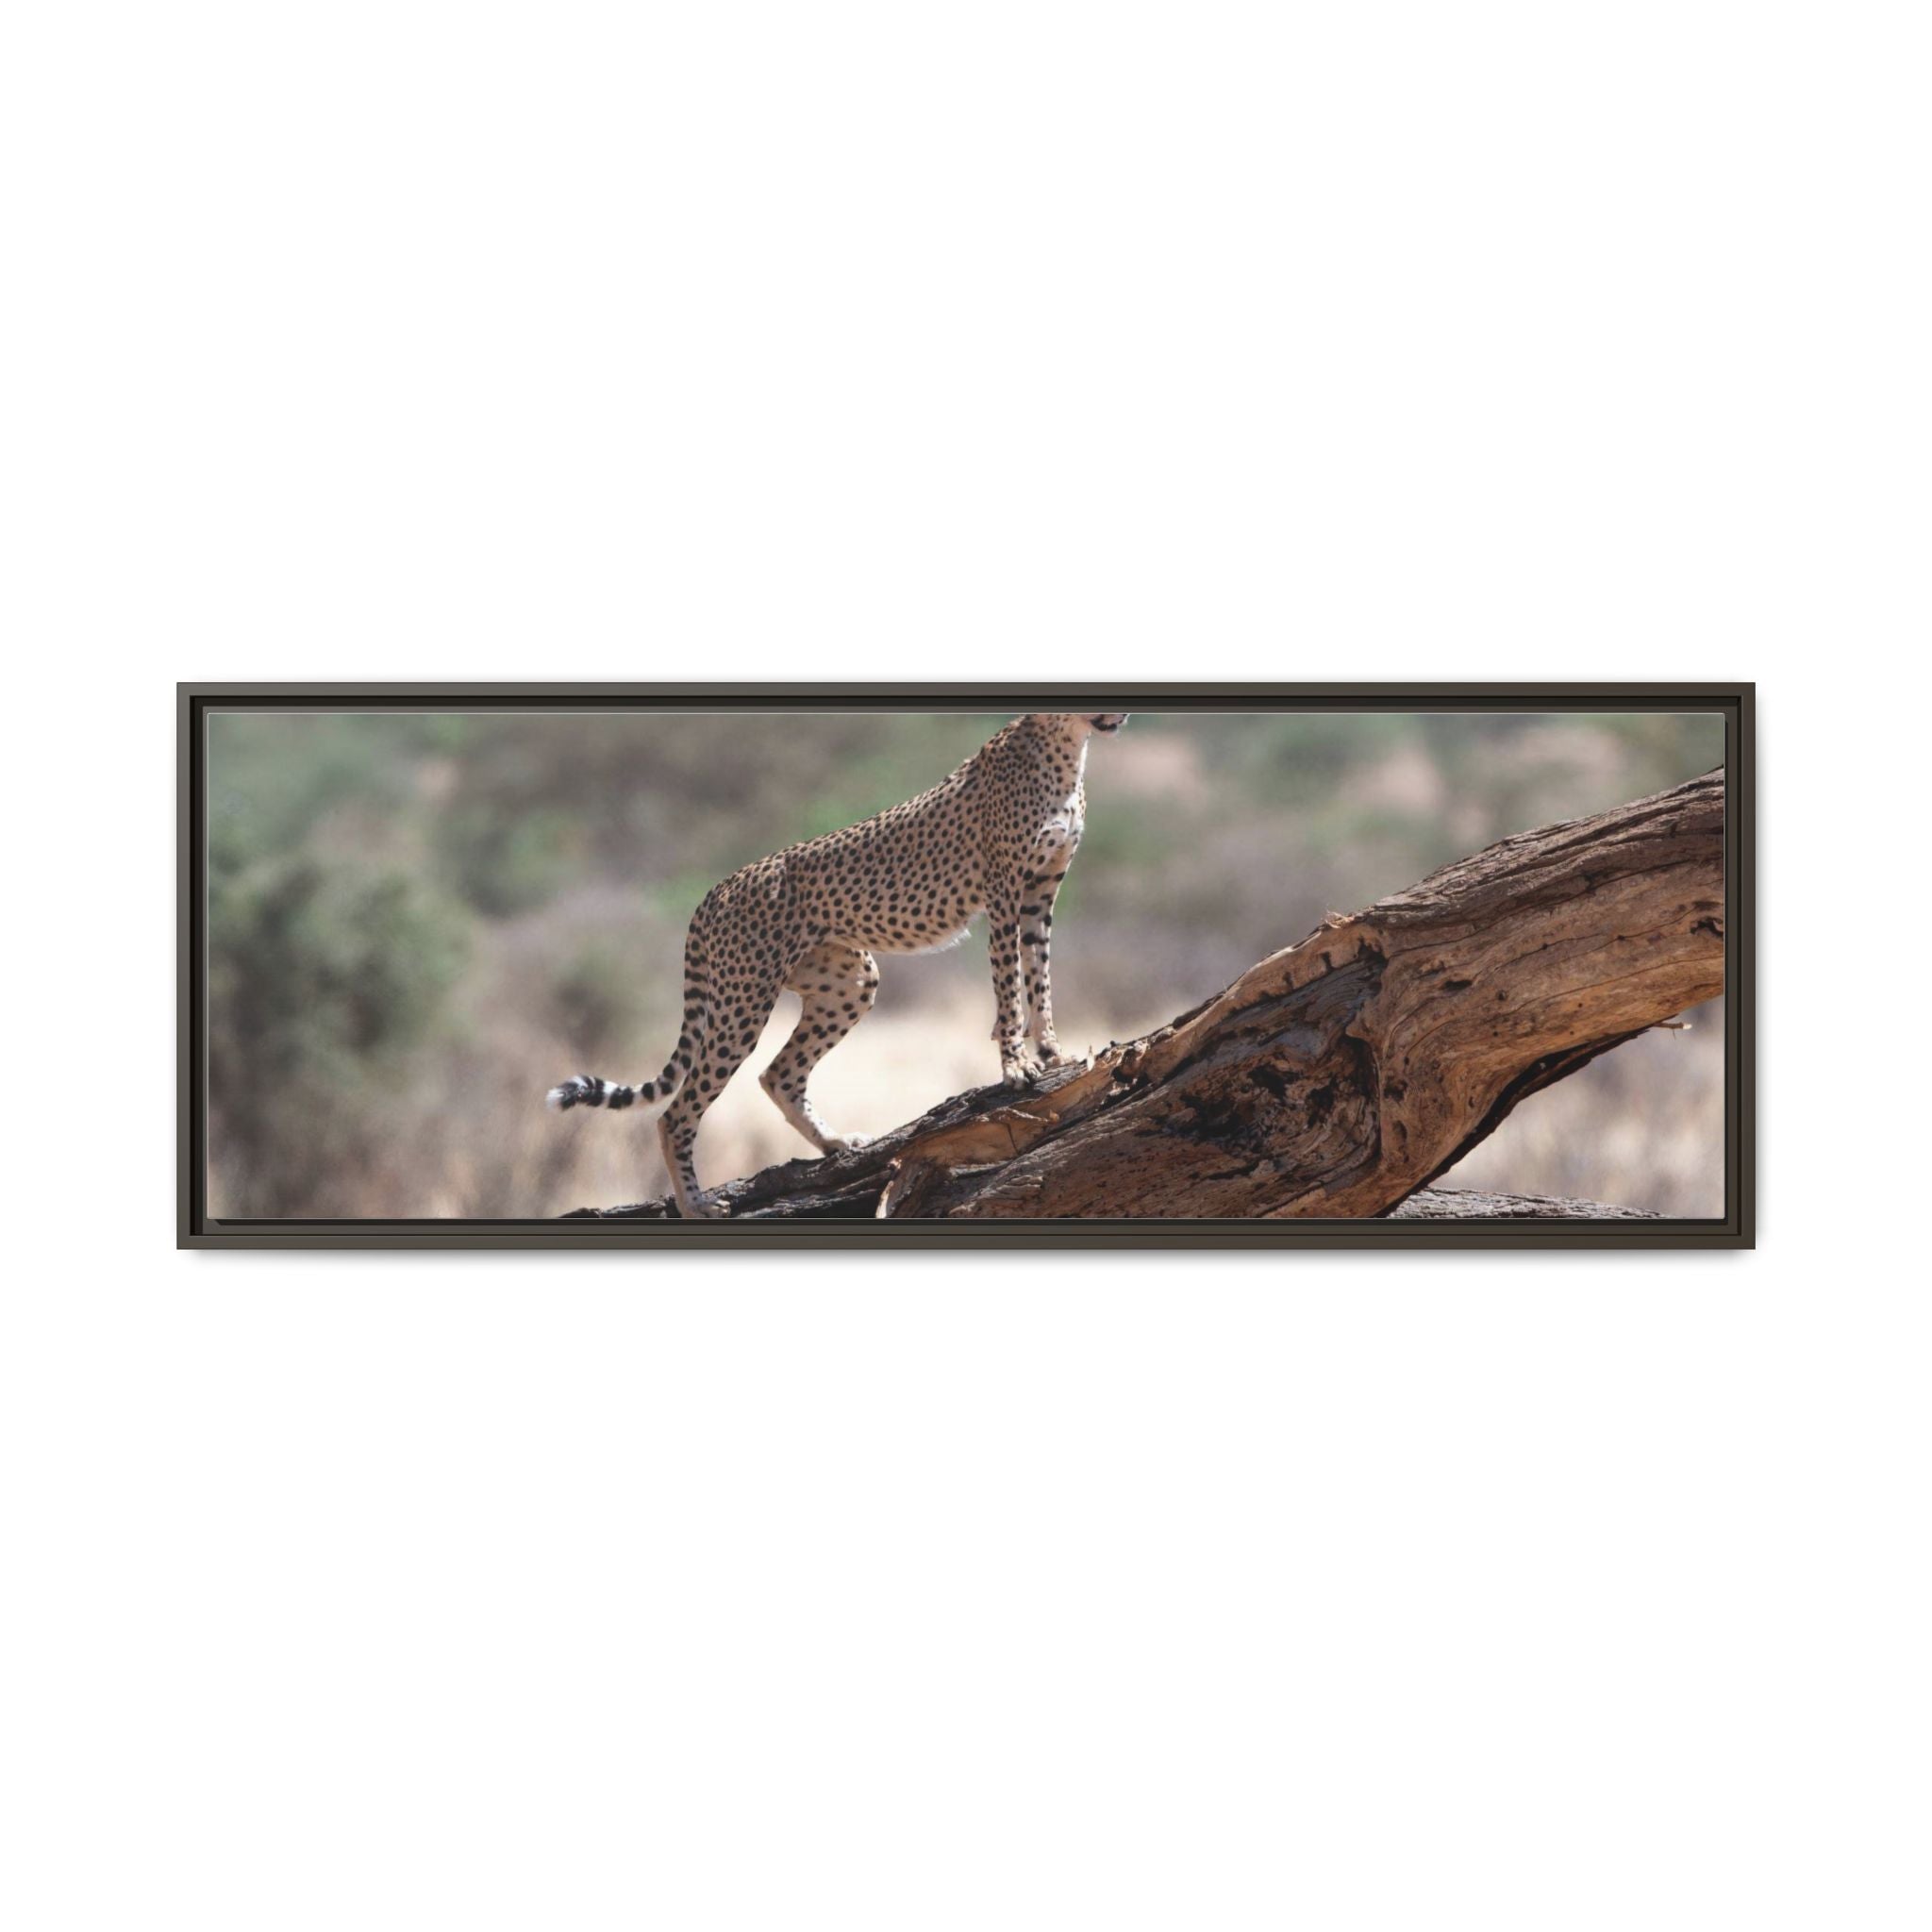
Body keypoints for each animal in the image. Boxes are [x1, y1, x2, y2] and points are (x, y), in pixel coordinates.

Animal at [546, 712, 1129, 1217]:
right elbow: (1009, 983)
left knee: (778, 1074)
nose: (1118, 714)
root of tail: (719, 886)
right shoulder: (1004, 889)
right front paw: (1016, 1066)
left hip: (849, 980)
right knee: (676, 1112)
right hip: (743, 1001)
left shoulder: (1040, 892)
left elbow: (1039, 975)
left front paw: (1052, 1052)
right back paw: (696, 1205)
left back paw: (833, 1143)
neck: (1066, 745)